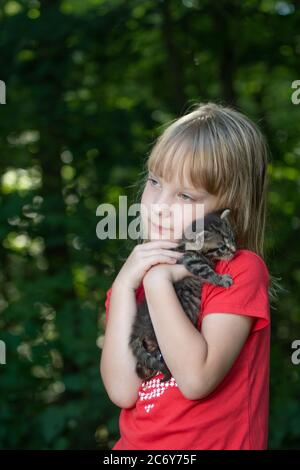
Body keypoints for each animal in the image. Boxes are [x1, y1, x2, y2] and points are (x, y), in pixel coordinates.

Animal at [128, 208, 237, 382]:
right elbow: (207, 271)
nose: (234, 250)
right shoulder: (191, 260)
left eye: (232, 237)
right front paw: (221, 279)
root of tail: (139, 326)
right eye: (222, 247)